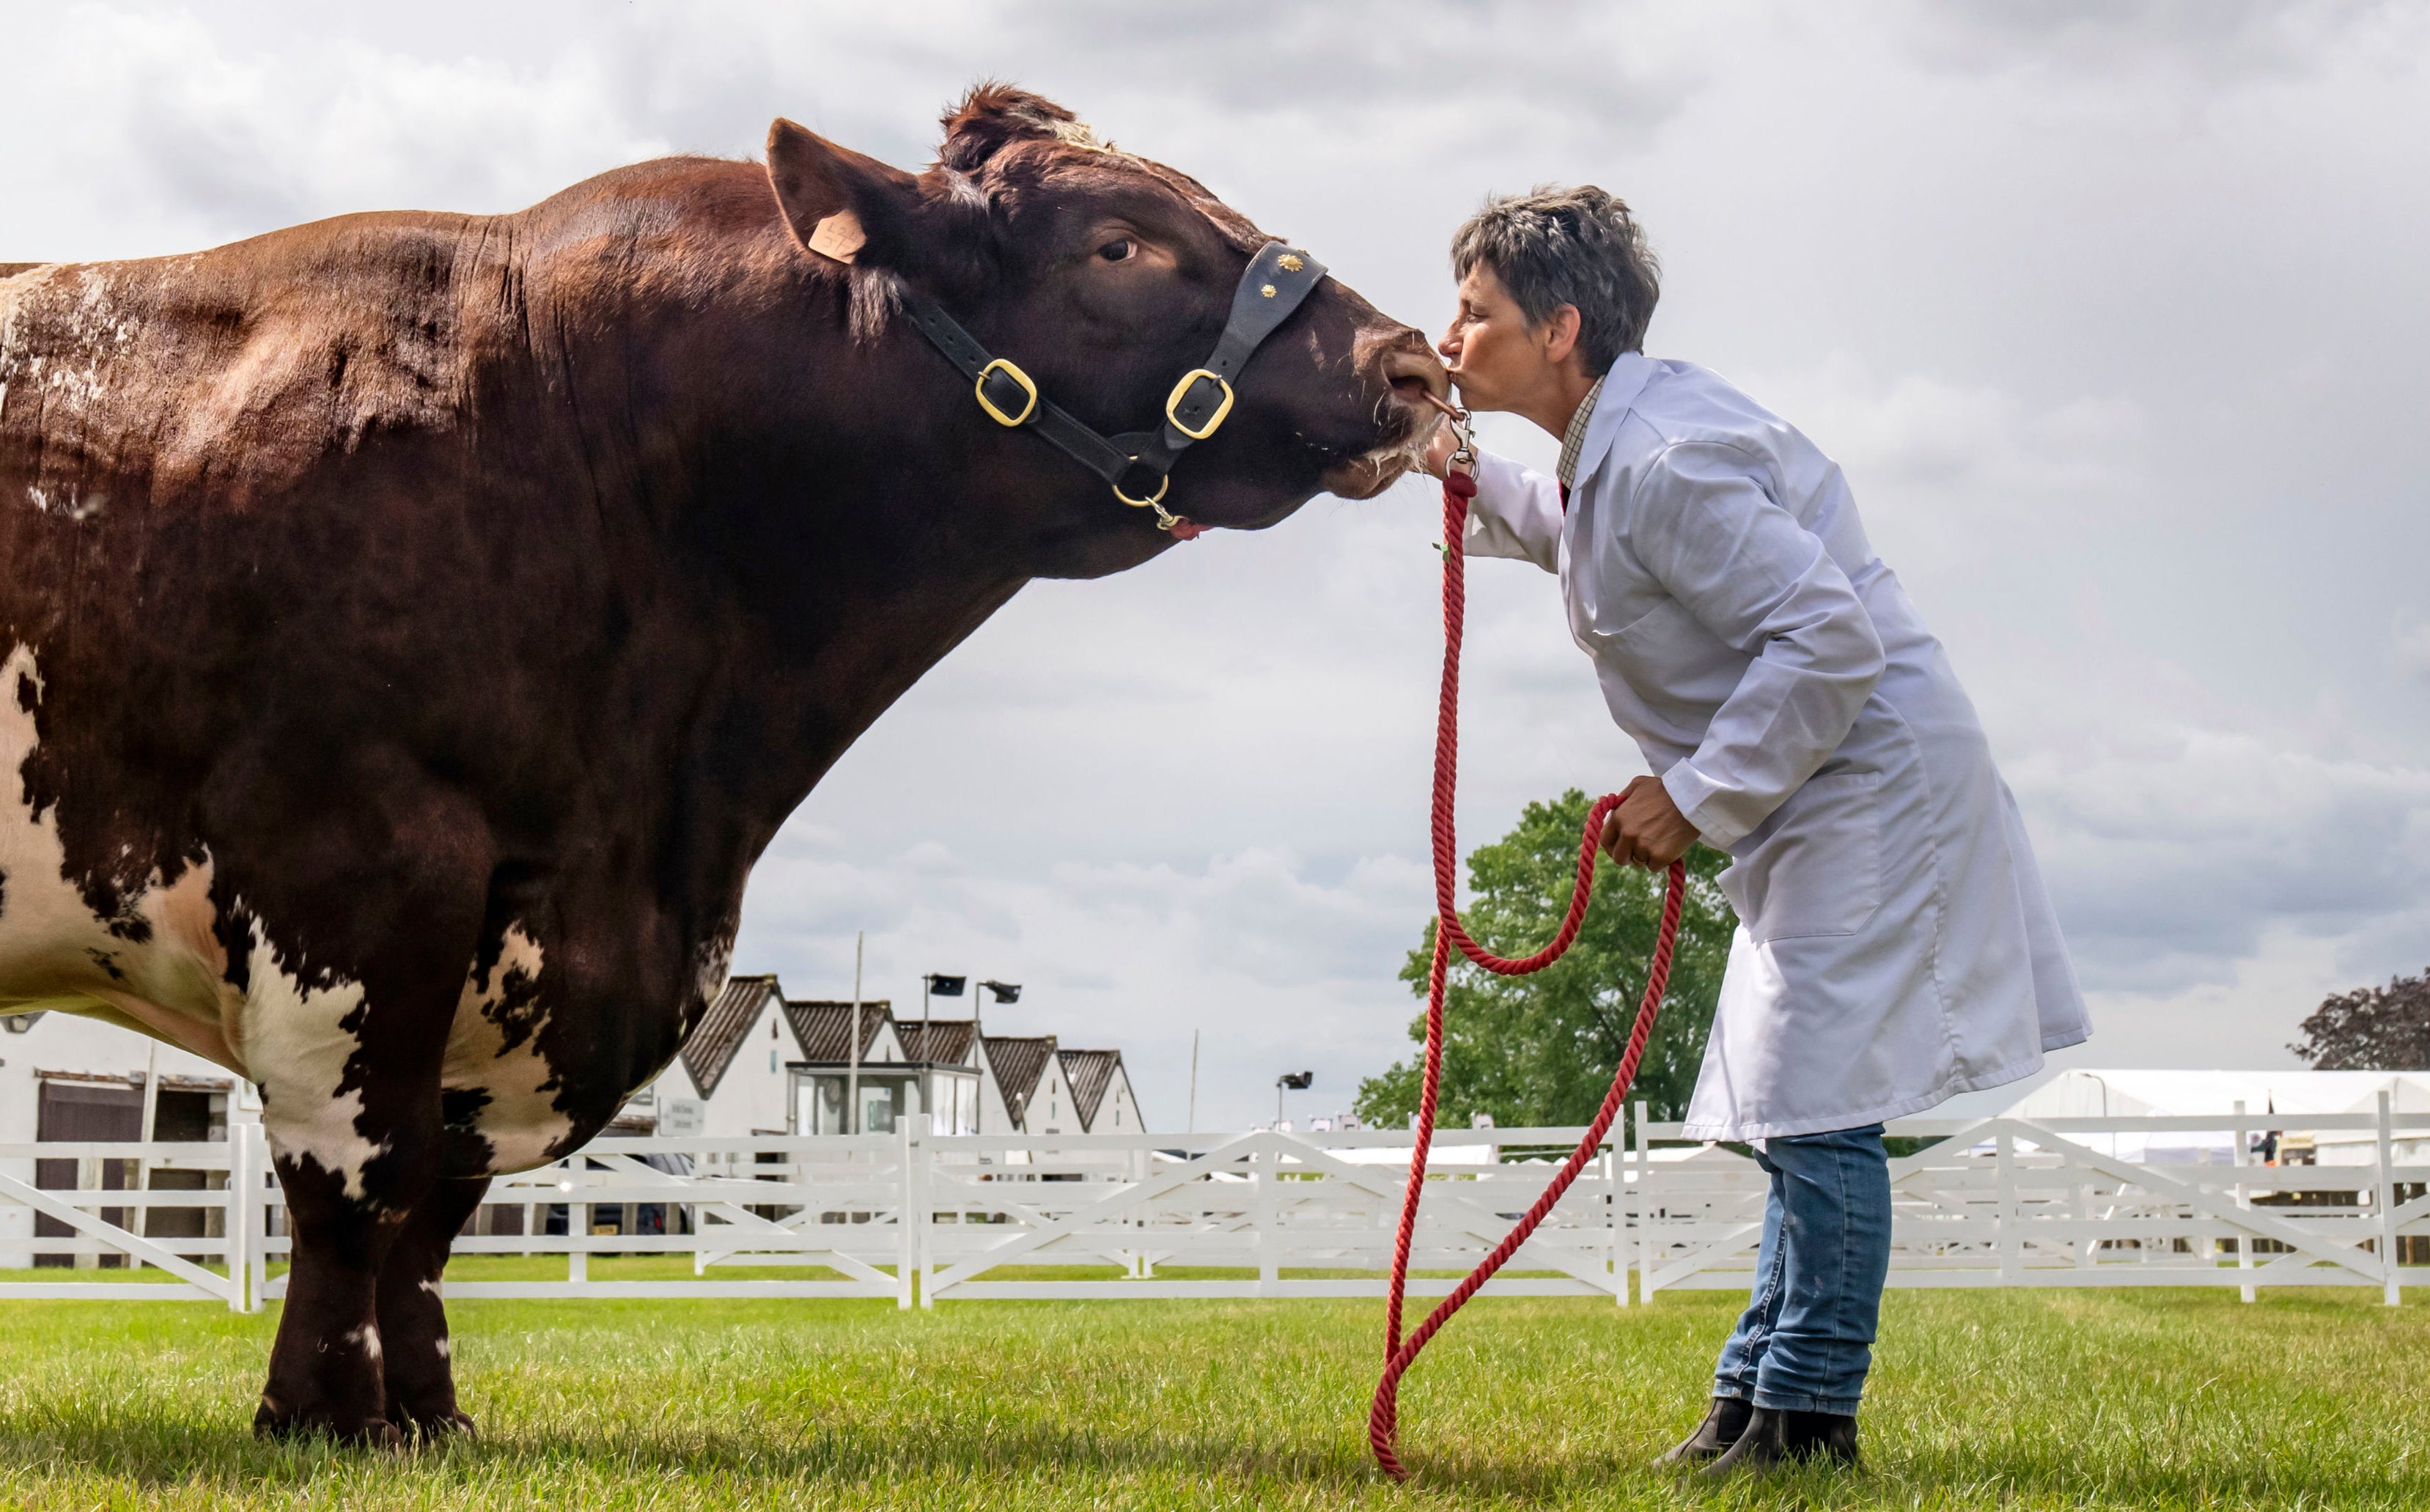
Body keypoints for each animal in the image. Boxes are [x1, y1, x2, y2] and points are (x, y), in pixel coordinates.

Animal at [0, 85, 1438, 1448]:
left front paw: (429, 1414)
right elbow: (362, 1182)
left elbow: (439, 1205)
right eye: (1121, 241)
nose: (1410, 360)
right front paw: (327, 1415)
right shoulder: (352, 871)